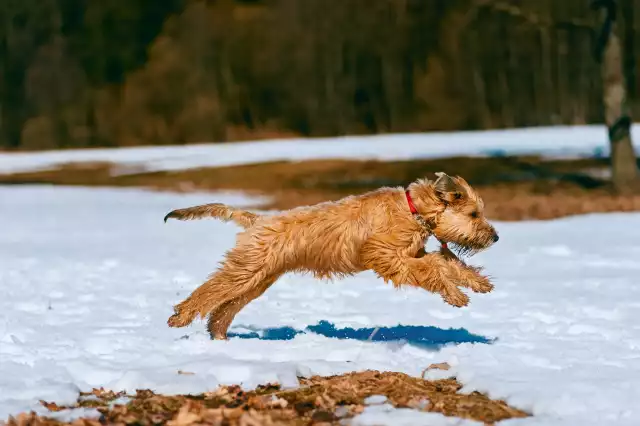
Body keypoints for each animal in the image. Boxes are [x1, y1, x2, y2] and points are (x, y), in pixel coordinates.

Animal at [165, 172, 500, 340]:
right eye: (474, 214)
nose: (495, 236)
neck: (414, 209)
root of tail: (257, 220)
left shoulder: (410, 252)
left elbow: (445, 261)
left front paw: (478, 283)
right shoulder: (385, 255)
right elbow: (431, 267)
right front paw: (455, 294)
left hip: (258, 278)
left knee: (223, 306)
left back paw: (219, 336)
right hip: (247, 270)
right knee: (210, 291)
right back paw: (181, 316)